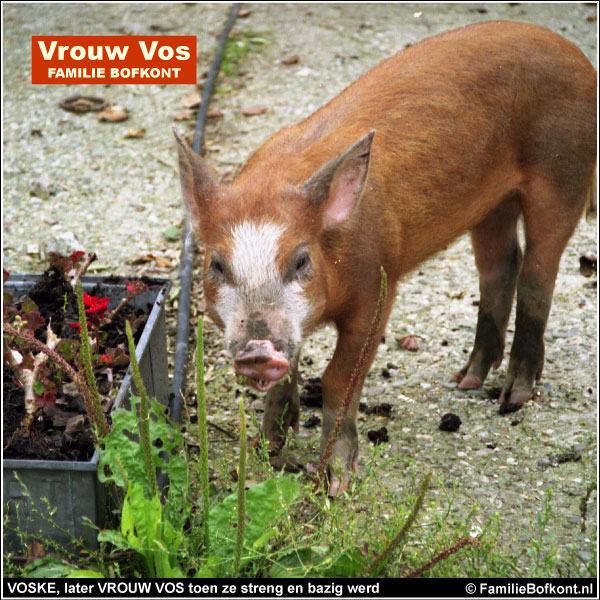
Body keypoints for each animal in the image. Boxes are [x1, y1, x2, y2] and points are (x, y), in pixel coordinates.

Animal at [173, 21, 596, 494]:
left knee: (539, 272)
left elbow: (339, 380)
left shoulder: (378, 287)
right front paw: (270, 448)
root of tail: (571, 51)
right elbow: (291, 370)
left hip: (563, 170)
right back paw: (466, 381)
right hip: (491, 202)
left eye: (301, 261)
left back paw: (513, 398)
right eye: (217, 265)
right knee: (500, 264)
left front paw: (335, 483)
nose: (257, 349)